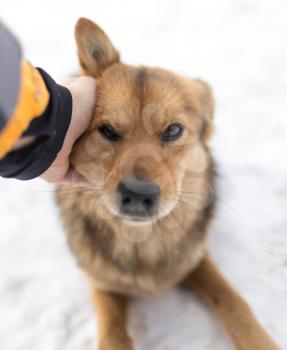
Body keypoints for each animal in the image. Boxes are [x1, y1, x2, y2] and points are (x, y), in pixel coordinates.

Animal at [56, 18, 280, 350]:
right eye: (107, 130)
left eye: (173, 130)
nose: (138, 195)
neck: (142, 243)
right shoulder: (101, 281)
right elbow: (113, 333)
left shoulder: (194, 258)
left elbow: (233, 301)